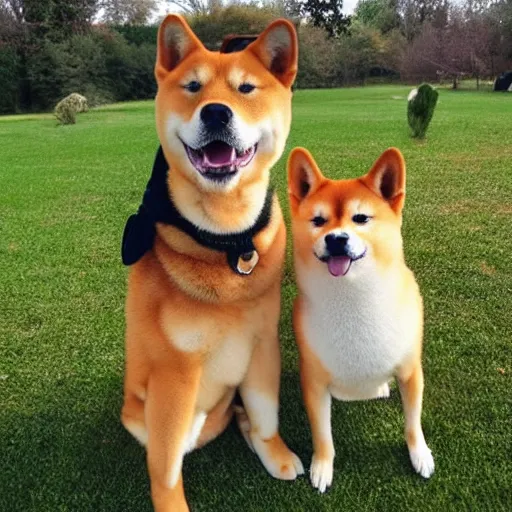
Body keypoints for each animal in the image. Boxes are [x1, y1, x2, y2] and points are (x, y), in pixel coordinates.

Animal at [121, 14, 302, 510]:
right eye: (193, 86)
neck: (225, 239)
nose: (216, 112)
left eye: (246, 88)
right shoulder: (175, 374)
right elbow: (164, 467)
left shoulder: (262, 345)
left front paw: (273, 451)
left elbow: (266, 414)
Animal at [286, 147, 434, 492]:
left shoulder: (411, 373)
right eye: (318, 221)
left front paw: (419, 454)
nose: (336, 239)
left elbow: (413, 423)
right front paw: (322, 465)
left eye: (361, 219)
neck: (353, 302)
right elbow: (323, 435)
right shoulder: (314, 384)